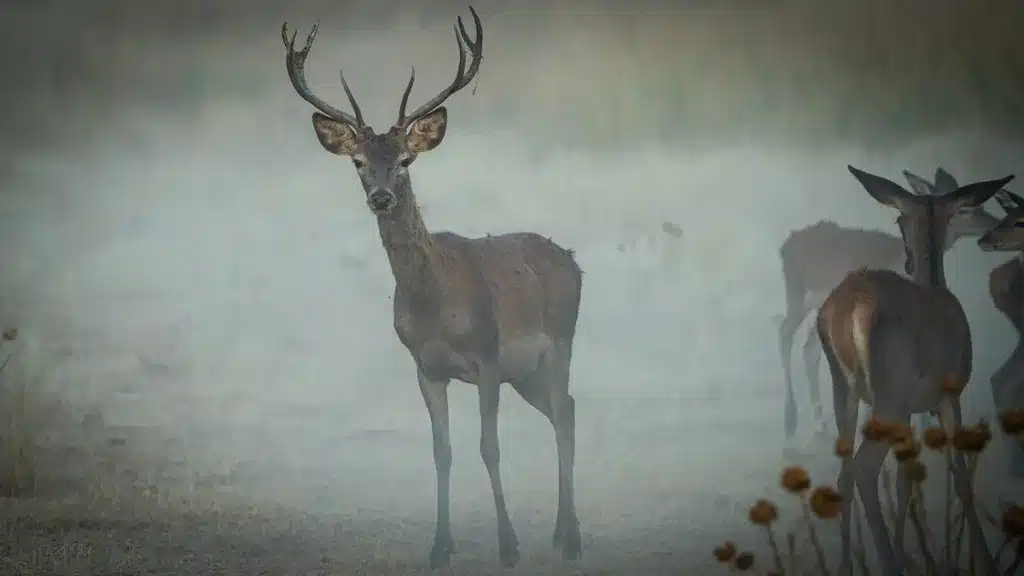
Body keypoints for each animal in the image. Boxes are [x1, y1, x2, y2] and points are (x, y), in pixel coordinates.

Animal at [280, 6, 585, 565]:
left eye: (406, 160)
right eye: (358, 162)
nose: (380, 196)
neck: (437, 304)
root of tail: (571, 260)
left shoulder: (488, 357)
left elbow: (490, 447)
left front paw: (508, 545)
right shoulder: (425, 367)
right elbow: (441, 452)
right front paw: (440, 547)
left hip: (560, 340)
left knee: (566, 413)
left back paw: (570, 537)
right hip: (526, 371)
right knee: (564, 412)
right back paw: (559, 533)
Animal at [774, 168, 999, 436]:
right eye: (966, 210)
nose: (992, 224)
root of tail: (784, 247)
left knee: (809, 349)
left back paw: (818, 422)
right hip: (797, 294)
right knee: (785, 333)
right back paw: (790, 420)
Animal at [815, 166, 1007, 573]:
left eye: (900, 220)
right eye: (960, 213)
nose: (906, 261)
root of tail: (849, 308)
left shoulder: (907, 410)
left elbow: (906, 481)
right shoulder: (949, 394)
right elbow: (960, 476)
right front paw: (985, 561)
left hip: (846, 387)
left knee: (843, 471)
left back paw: (849, 565)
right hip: (890, 394)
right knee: (864, 468)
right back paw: (889, 563)